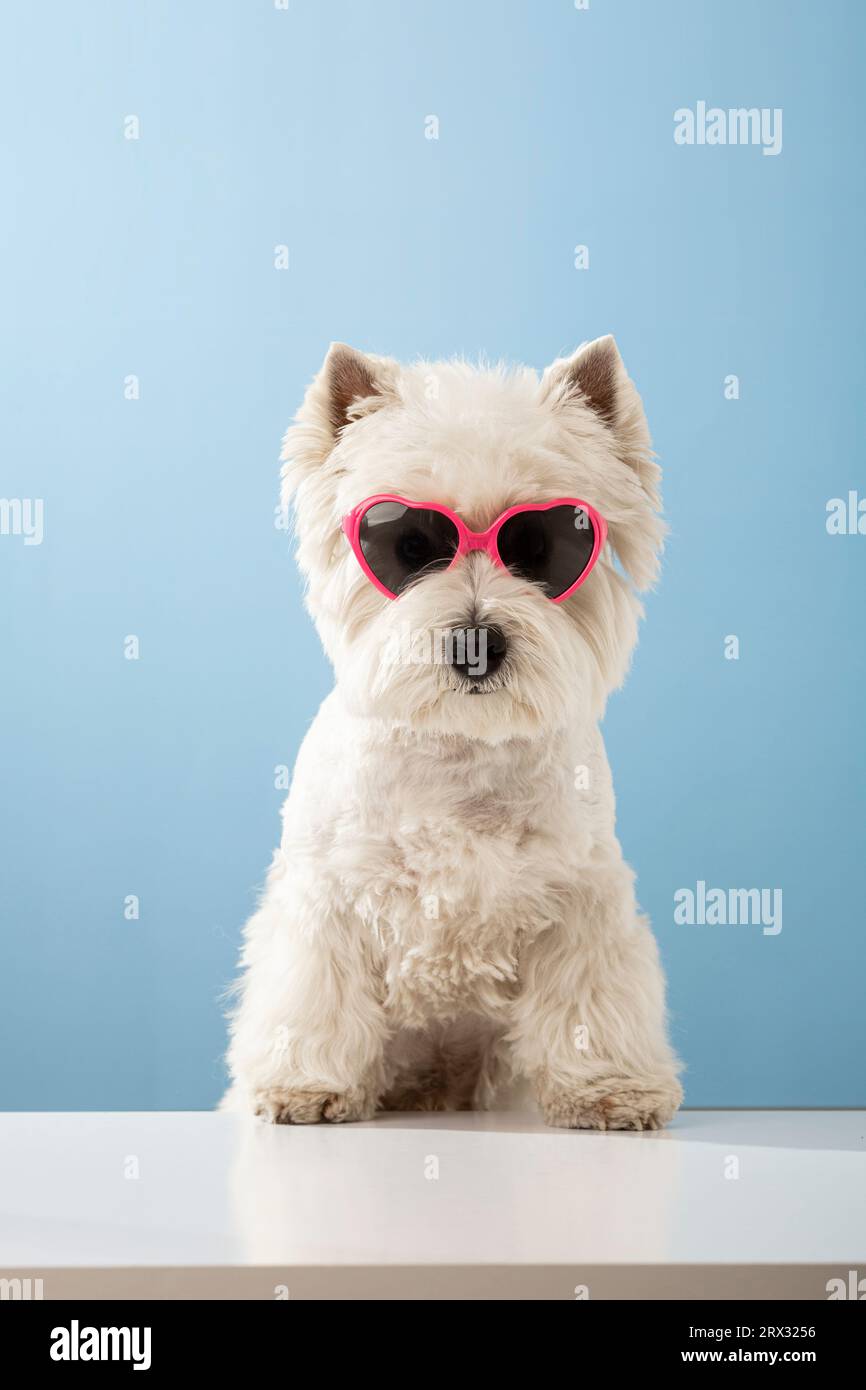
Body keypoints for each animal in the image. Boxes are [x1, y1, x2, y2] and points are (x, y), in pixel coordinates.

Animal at [226, 336, 686, 1128]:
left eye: (539, 547)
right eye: (410, 547)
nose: (477, 643)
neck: (460, 751)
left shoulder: (583, 899)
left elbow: (589, 999)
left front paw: (607, 1088)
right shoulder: (325, 897)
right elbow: (316, 995)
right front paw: (307, 1084)